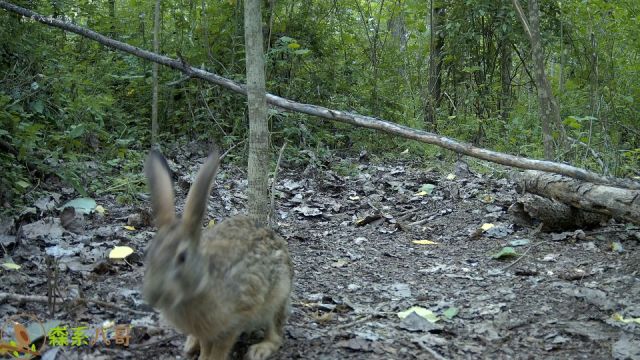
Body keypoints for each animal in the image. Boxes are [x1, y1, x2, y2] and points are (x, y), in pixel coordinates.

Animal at [142, 147, 292, 360]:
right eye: (148, 253)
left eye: (182, 258)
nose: (154, 296)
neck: (204, 281)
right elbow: (206, 345)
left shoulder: (234, 318)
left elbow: (220, 348)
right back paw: (190, 345)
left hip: (278, 296)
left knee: (275, 332)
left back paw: (259, 350)